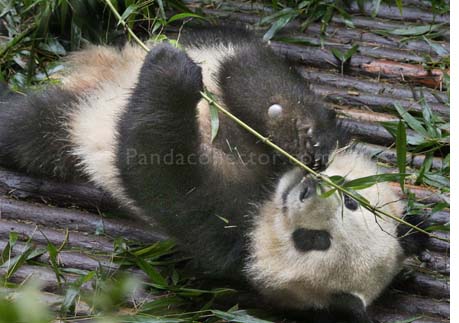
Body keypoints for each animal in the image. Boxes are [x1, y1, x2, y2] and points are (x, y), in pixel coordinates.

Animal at [0, 27, 424, 322]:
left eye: (314, 240)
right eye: (352, 201)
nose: (308, 188)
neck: (268, 192)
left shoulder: (231, 241)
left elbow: (166, 175)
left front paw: (169, 80)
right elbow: (257, 77)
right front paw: (298, 133)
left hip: (64, 126)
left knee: (25, 126)